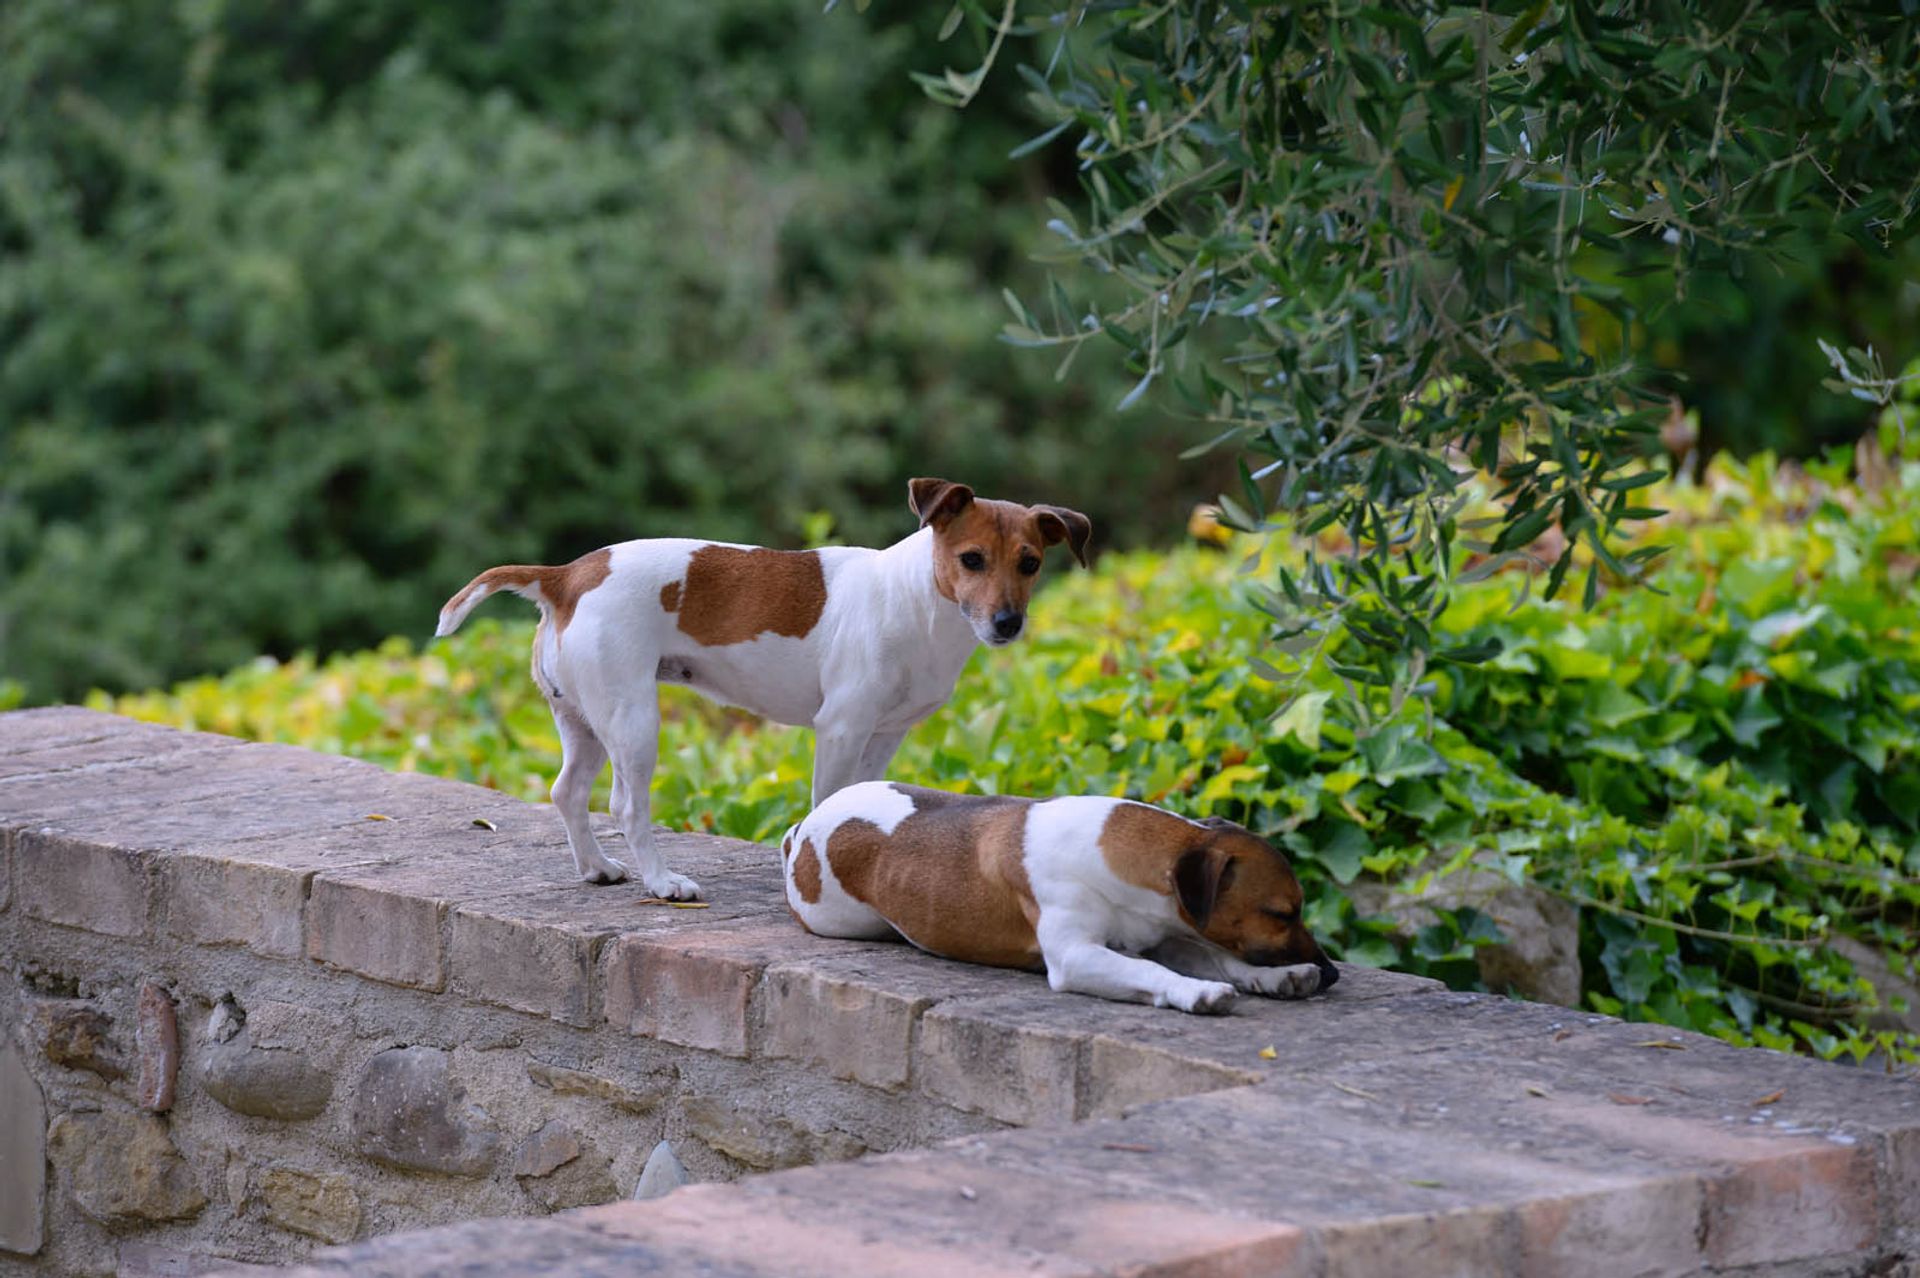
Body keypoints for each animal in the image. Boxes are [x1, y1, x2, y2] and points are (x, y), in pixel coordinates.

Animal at [439, 475, 1090, 894]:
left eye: (1030, 563)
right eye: (972, 559)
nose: (1007, 623)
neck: (915, 599)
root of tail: (567, 575)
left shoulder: (883, 736)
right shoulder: (841, 728)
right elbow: (826, 801)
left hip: (584, 720)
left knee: (568, 792)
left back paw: (597, 868)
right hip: (633, 720)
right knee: (625, 804)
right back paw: (662, 881)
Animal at [775, 782, 1336, 1013]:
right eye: (1282, 913)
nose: (1332, 974)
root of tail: (802, 828)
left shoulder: (1167, 933)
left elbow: (1218, 958)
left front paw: (1278, 977)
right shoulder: (1077, 956)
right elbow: (1151, 971)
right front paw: (1194, 993)